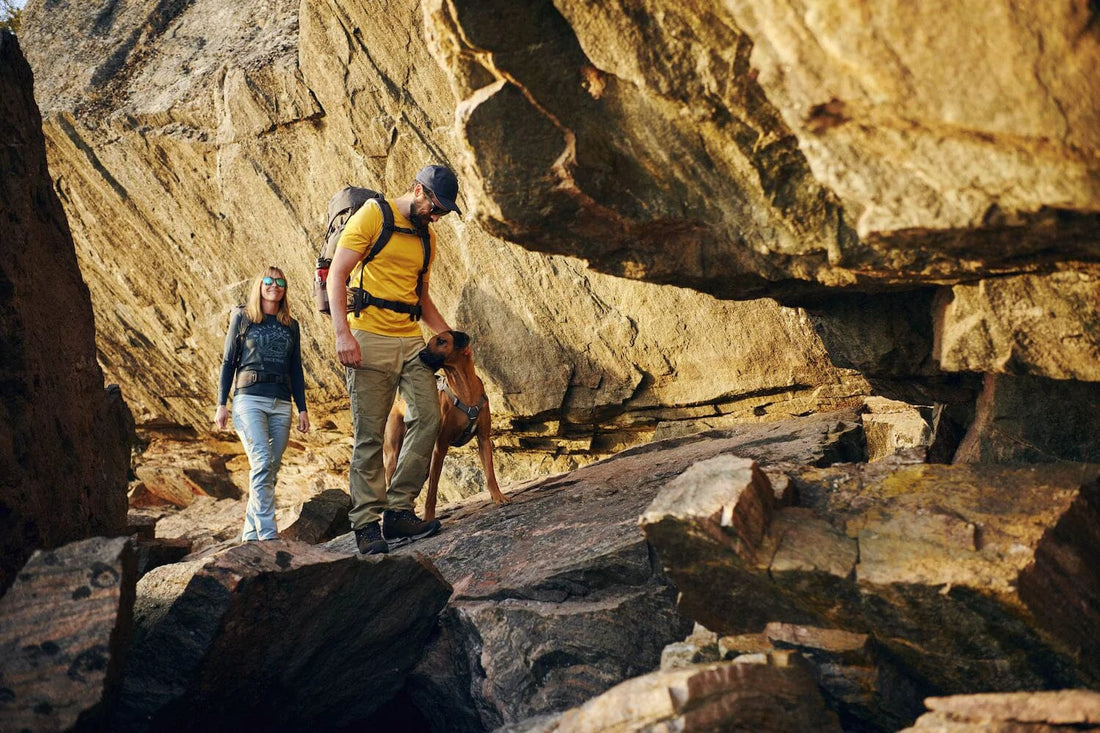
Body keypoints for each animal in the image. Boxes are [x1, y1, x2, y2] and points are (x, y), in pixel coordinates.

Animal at [382, 327, 510, 521]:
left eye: (441, 341)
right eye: (428, 344)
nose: (421, 354)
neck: (464, 389)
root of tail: (398, 404)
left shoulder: (483, 439)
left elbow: (490, 474)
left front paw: (498, 497)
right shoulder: (440, 447)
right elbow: (432, 491)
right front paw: (429, 517)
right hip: (393, 456)